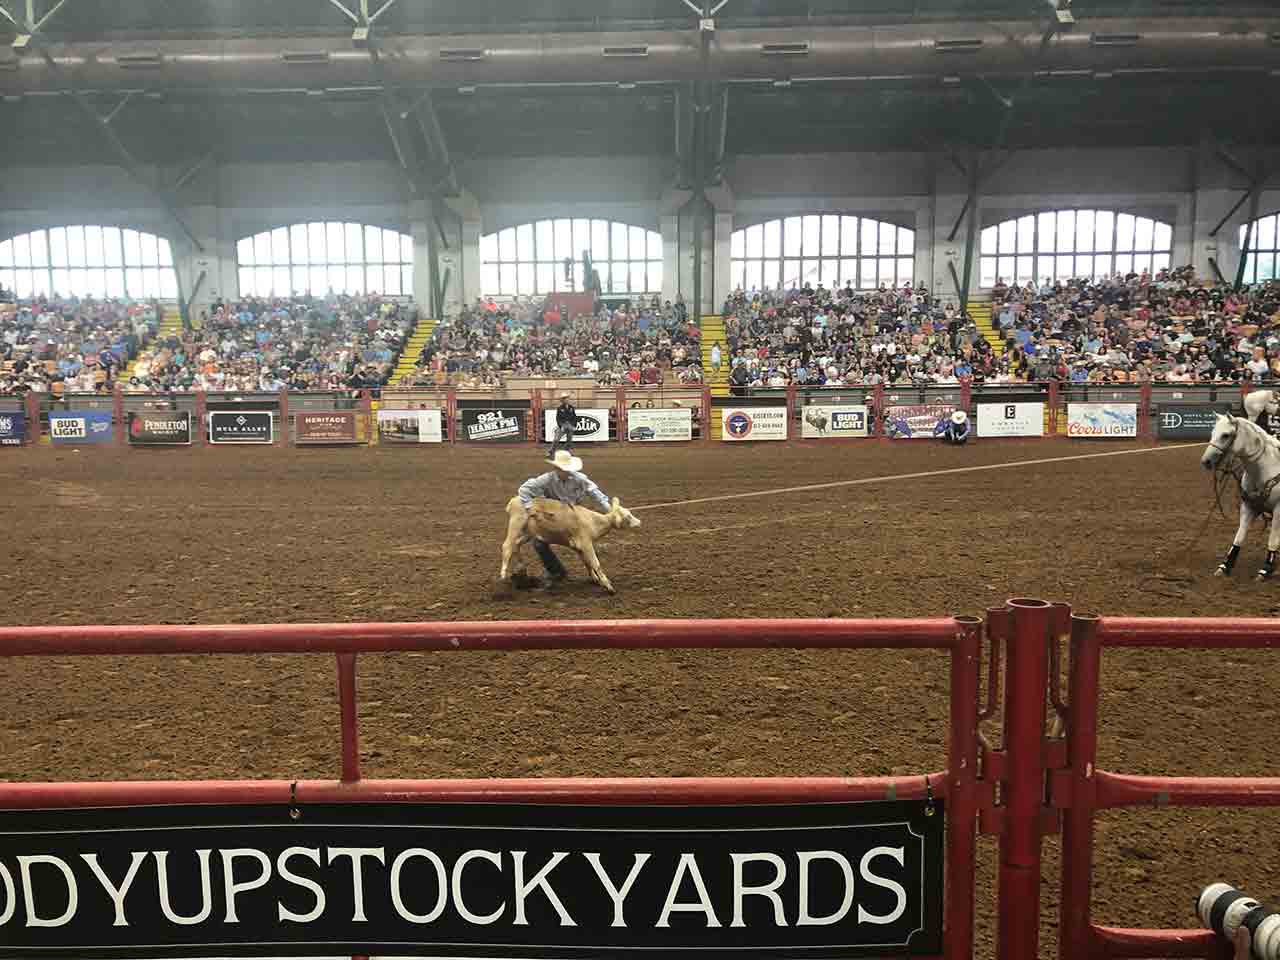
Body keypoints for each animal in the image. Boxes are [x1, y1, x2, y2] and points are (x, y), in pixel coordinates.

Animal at [1198, 414, 1280, 578]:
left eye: (1225, 435)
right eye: (1212, 432)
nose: (1206, 461)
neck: (1266, 469)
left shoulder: (1278, 510)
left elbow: (1273, 539)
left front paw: (1266, 568)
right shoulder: (1248, 507)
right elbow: (1239, 536)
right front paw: (1225, 565)